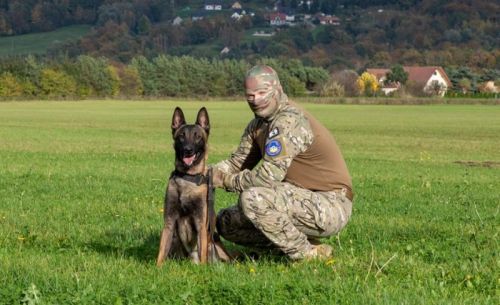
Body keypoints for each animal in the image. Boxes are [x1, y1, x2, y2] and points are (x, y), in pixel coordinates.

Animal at [156, 107, 230, 264]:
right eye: (181, 136)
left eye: (197, 136)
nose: (188, 150)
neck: (188, 178)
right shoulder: (169, 222)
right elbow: (161, 252)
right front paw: (157, 267)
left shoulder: (201, 223)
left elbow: (203, 255)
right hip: (176, 241)